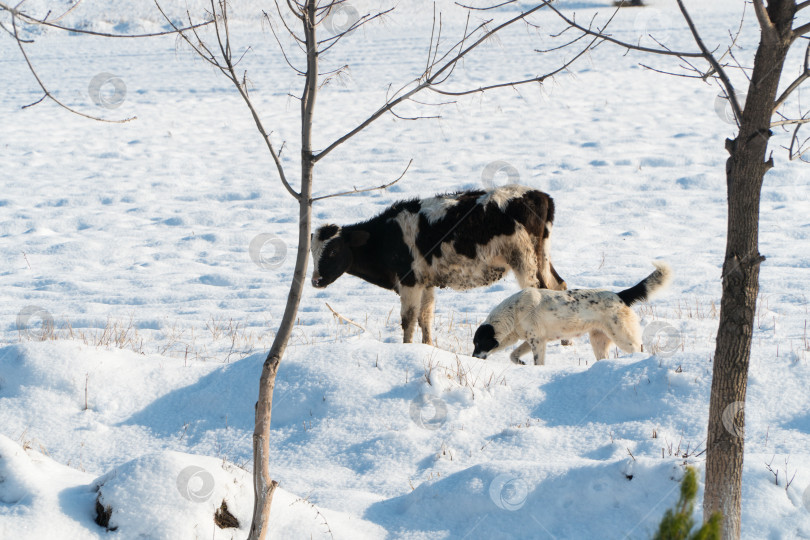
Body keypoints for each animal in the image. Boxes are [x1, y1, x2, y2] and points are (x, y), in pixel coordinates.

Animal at [310, 186, 568, 344]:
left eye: (333, 250)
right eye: (312, 252)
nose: (316, 281)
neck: (387, 236)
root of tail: (540, 195)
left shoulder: (410, 281)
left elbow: (408, 319)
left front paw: (407, 347)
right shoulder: (426, 282)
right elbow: (425, 317)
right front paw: (427, 346)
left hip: (525, 261)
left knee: (542, 292)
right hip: (542, 256)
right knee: (559, 286)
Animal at [468, 262, 668, 364]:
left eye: (479, 343)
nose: (473, 358)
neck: (514, 312)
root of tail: (619, 295)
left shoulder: (537, 342)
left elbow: (538, 362)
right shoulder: (533, 339)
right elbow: (513, 355)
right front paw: (520, 363)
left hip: (624, 338)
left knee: (639, 350)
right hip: (599, 340)